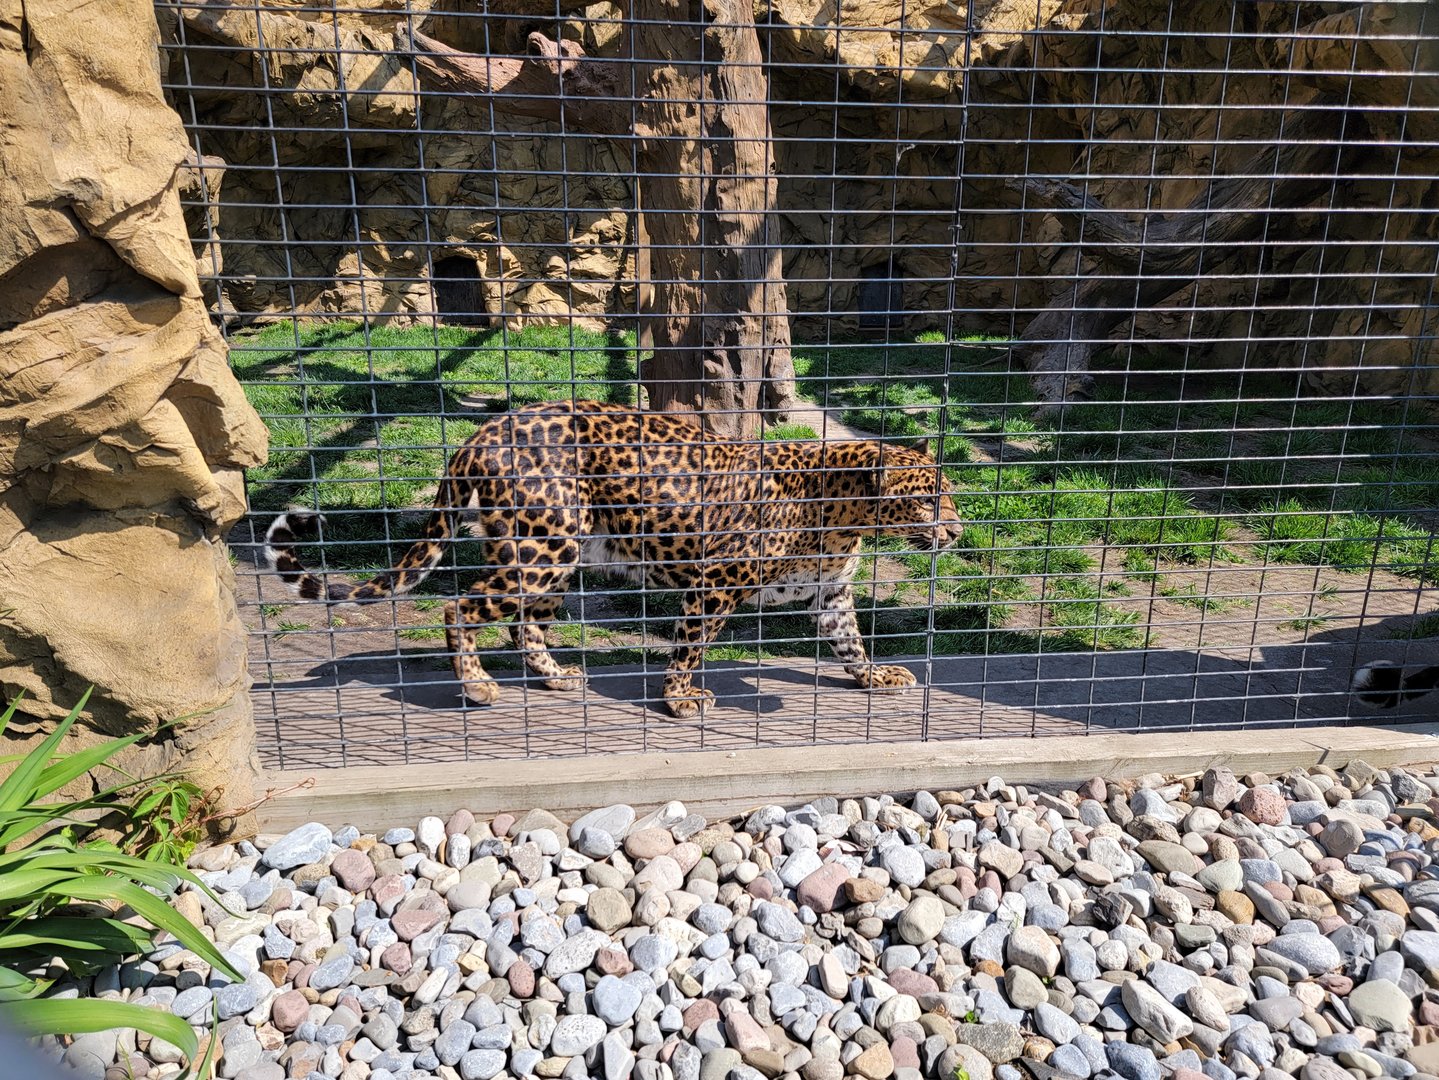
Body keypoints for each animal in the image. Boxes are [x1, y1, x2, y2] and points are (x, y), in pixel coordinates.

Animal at [265, 399, 963, 718]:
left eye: (949, 491)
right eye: (925, 498)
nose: (957, 531)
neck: (845, 516)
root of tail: (476, 436)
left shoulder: (831, 592)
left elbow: (851, 640)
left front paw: (874, 677)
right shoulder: (714, 582)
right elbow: (689, 645)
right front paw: (681, 700)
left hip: (548, 554)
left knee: (523, 622)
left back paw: (555, 677)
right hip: (543, 549)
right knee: (459, 606)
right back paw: (479, 686)